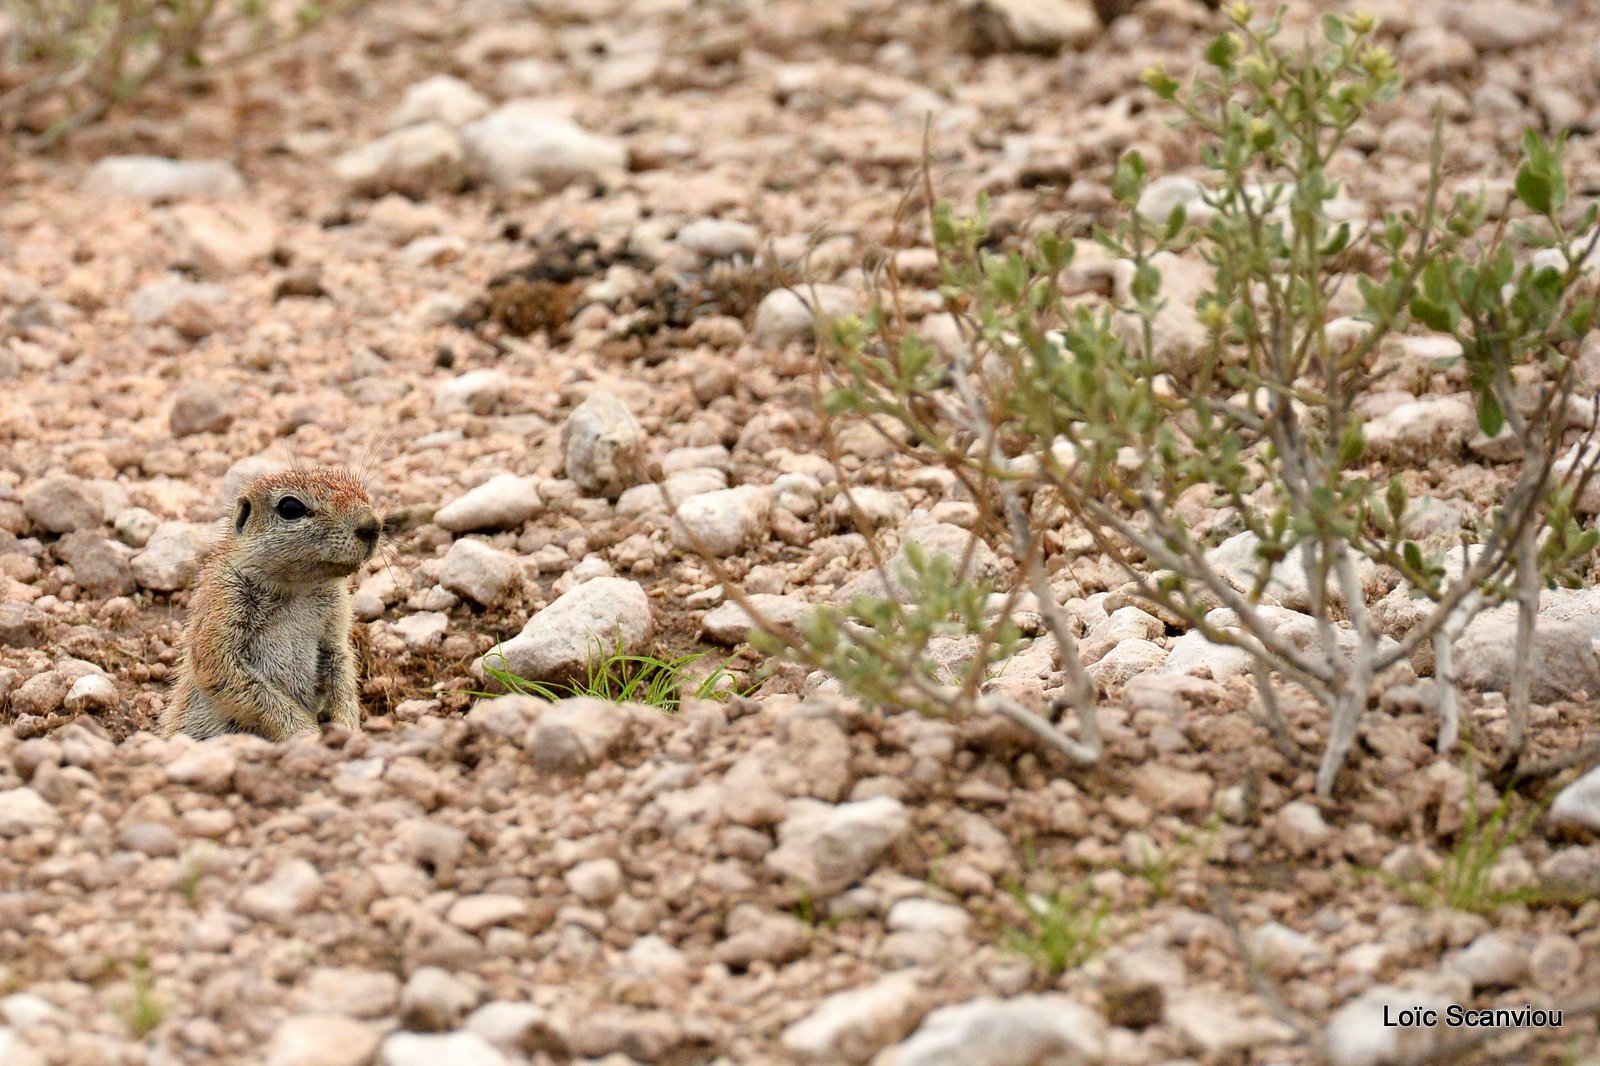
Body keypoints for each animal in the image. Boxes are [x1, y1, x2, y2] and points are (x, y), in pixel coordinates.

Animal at [160, 464, 387, 739]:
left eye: (364, 494)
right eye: (290, 508)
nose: (372, 524)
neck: (298, 588)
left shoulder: (337, 620)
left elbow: (341, 666)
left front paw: (346, 725)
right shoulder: (224, 603)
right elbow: (228, 673)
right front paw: (308, 733)